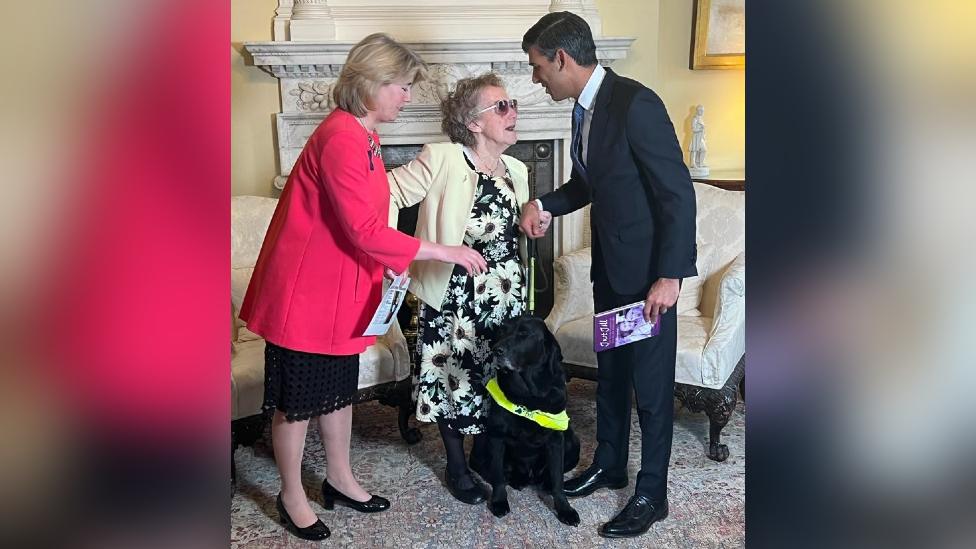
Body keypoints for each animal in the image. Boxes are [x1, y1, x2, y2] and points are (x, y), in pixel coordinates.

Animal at [478, 314, 580, 524]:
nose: (496, 350)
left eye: (524, 334)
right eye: (502, 330)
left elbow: (558, 480)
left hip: (572, 441)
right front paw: (499, 501)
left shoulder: (556, 440)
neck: (528, 395)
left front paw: (564, 509)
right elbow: (498, 476)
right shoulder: (496, 437)